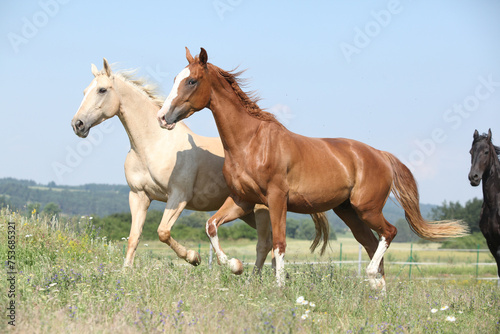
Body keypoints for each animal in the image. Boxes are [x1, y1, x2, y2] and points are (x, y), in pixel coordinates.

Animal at [71, 58, 282, 270]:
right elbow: (134, 237)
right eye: (84, 91)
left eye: (102, 90)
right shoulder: (139, 195)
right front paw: (126, 271)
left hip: (261, 209)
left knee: (265, 243)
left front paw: (194, 257)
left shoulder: (178, 196)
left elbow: (163, 232)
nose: (77, 124)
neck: (153, 145)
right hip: (246, 211)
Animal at [157, 47, 468, 290]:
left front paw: (279, 288)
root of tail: (379, 155)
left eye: (192, 81)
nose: (162, 117)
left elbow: (279, 243)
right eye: (175, 79)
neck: (251, 142)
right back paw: (377, 291)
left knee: (388, 233)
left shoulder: (276, 198)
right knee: (370, 243)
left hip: (367, 208)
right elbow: (211, 226)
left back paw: (372, 280)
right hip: (349, 212)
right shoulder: (242, 200)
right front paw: (235, 265)